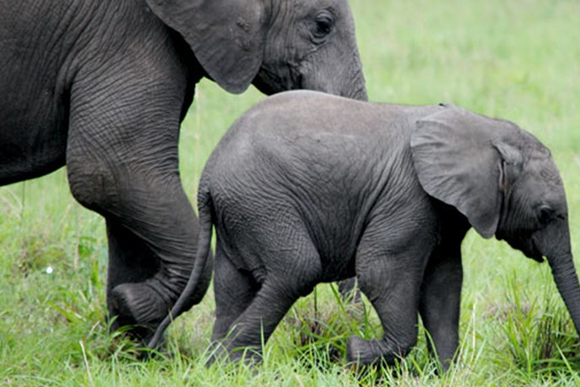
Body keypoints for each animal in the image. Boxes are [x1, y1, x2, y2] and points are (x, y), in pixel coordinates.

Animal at [0, 0, 364, 340]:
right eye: (322, 25)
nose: (346, 323)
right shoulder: (126, 32)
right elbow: (112, 171)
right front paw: (134, 305)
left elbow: (125, 195)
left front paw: (132, 344)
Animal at [150, 90, 580, 370]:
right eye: (545, 213)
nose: (572, 355)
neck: (484, 129)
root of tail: (208, 176)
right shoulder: (408, 197)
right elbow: (381, 272)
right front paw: (355, 352)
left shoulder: (445, 210)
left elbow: (443, 283)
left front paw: (446, 374)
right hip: (262, 203)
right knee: (296, 270)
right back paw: (235, 364)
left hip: (240, 212)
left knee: (233, 286)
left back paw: (218, 367)